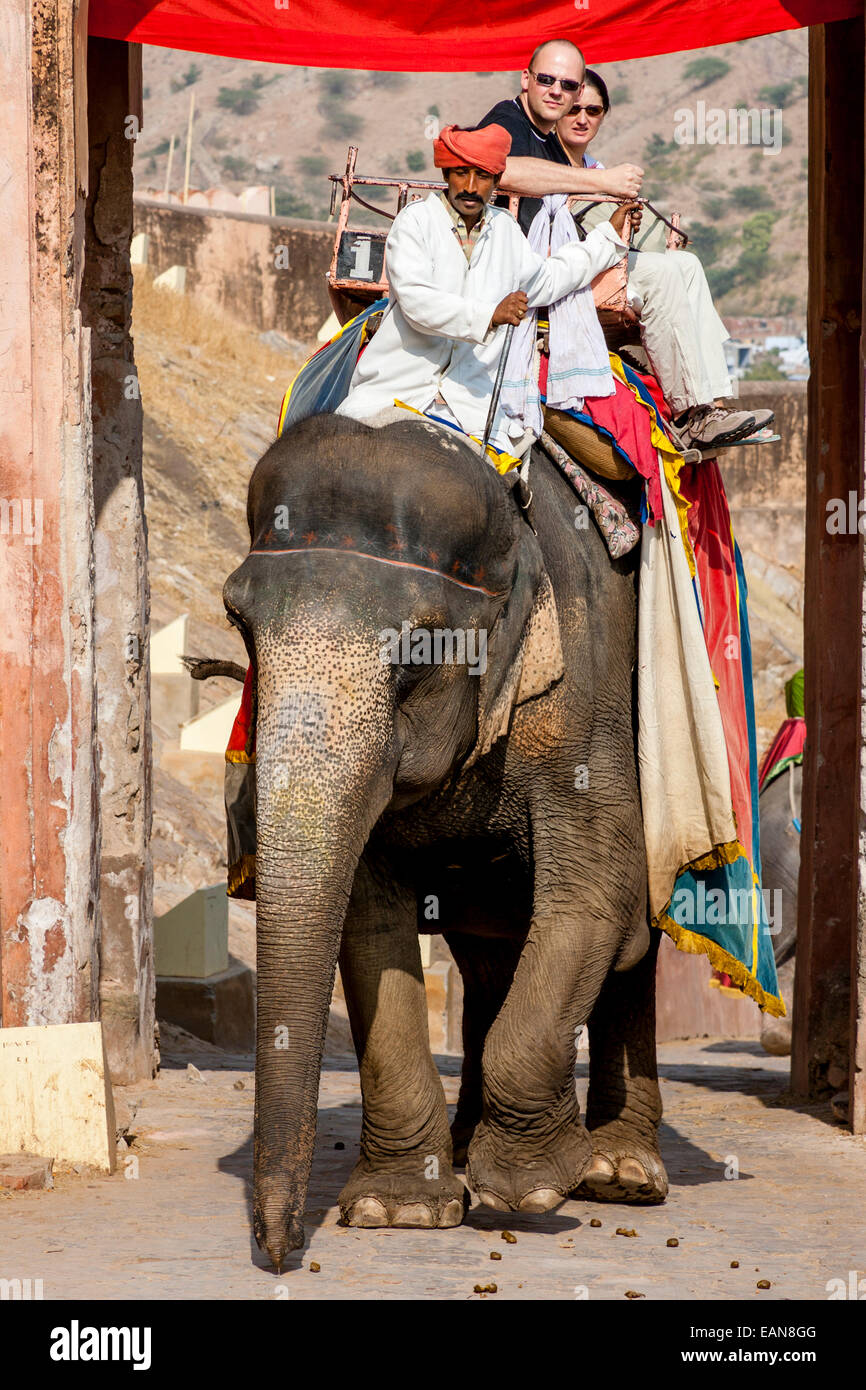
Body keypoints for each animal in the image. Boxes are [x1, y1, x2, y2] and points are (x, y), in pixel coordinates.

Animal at [223, 405, 664, 1267]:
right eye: (239, 623)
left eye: (416, 660)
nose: (280, 1252)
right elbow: (370, 923)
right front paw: (401, 1209)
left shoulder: (583, 695)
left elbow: (597, 893)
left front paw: (532, 1188)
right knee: (490, 955)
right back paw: (463, 1148)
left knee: (638, 940)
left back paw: (622, 1171)